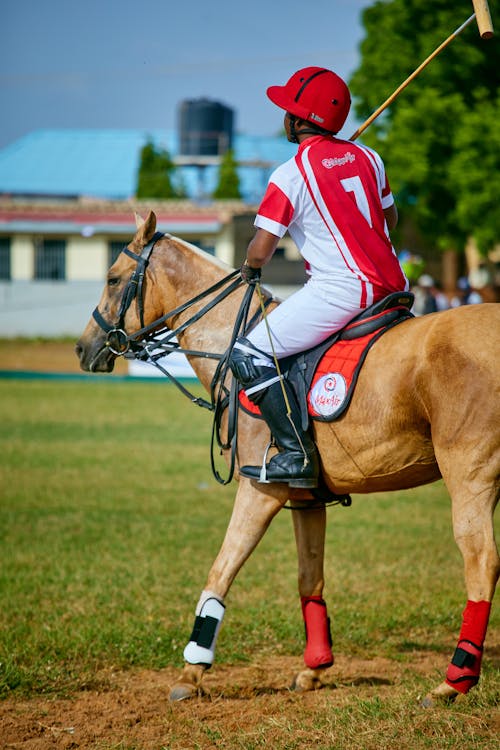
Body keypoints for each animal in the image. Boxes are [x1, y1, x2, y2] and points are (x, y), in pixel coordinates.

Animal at [76, 213, 498, 712]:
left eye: (112, 278)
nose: (84, 349)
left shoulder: (261, 486)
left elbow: (221, 569)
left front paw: (191, 672)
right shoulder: (306, 495)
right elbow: (309, 577)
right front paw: (315, 668)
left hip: (468, 474)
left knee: (481, 562)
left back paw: (454, 681)